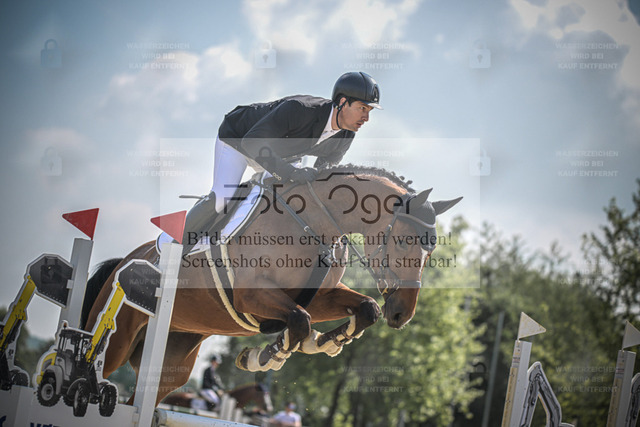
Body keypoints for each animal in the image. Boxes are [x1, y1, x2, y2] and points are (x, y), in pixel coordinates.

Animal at [82, 165, 462, 405]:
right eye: (404, 241)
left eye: (432, 250)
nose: (401, 314)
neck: (313, 222)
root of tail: (124, 261)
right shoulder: (252, 295)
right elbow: (298, 321)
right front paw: (267, 355)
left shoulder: (318, 296)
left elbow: (363, 309)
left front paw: (326, 341)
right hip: (116, 341)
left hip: (173, 360)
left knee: (142, 398)